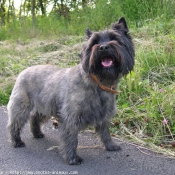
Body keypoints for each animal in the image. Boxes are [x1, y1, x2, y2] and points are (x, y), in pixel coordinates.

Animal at [7, 17, 135, 165]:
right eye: (94, 43)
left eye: (115, 39)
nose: (103, 47)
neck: (98, 82)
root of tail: (24, 71)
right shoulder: (71, 119)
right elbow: (71, 140)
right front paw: (72, 158)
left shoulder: (103, 117)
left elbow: (105, 133)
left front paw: (110, 146)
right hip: (21, 108)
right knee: (14, 124)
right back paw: (16, 141)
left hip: (43, 108)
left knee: (34, 118)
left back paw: (37, 133)